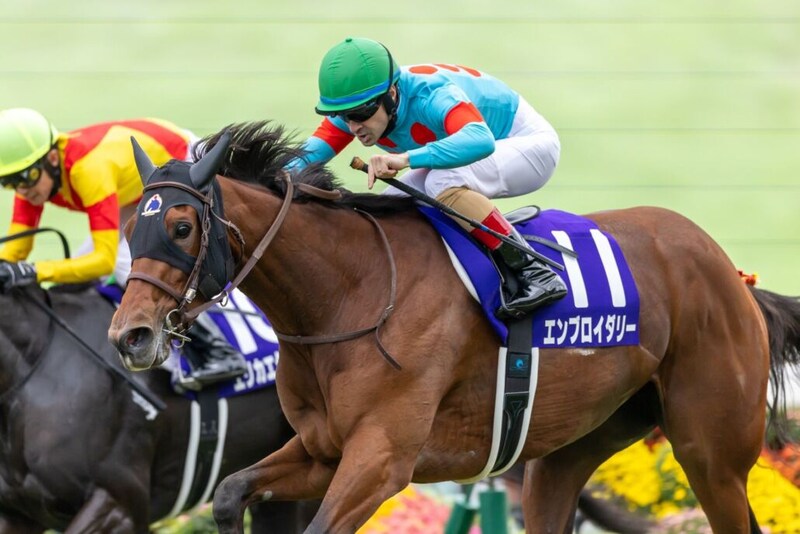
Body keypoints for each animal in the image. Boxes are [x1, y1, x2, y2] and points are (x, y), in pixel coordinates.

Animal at [108, 121, 800, 534]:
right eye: (130, 226)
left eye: (180, 227)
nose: (129, 336)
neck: (349, 294)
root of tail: (733, 274)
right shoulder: (325, 449)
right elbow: (231, 491)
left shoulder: (382, 459)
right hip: (569, 450)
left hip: (710, 450)